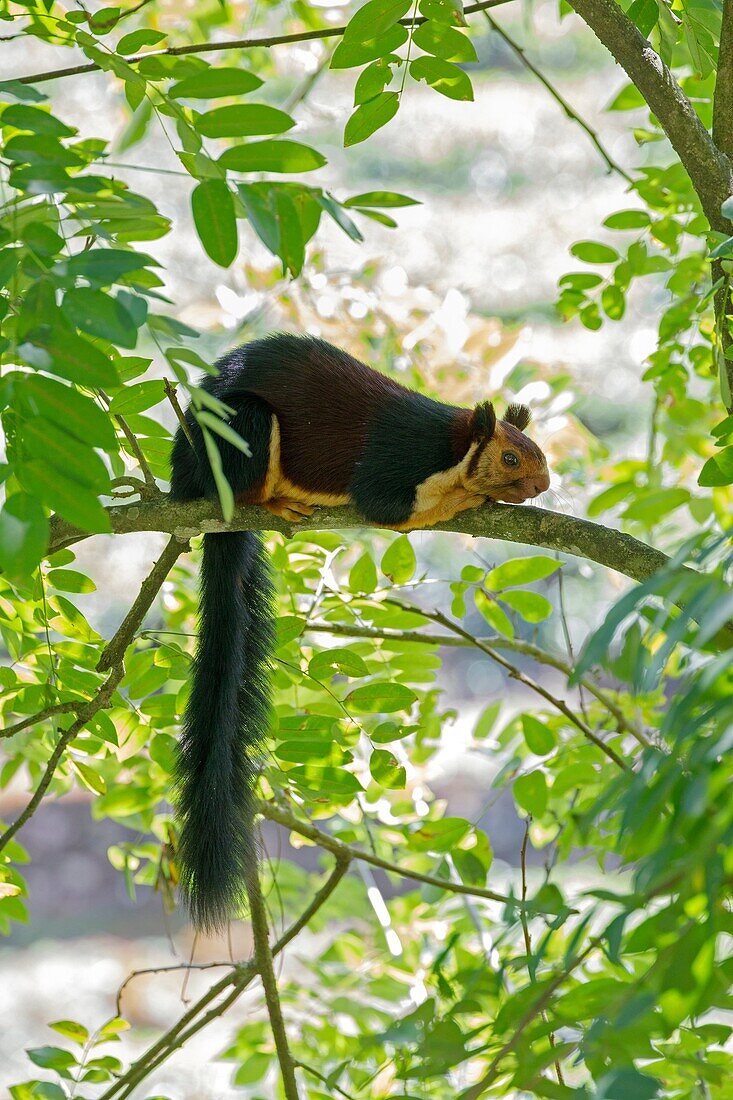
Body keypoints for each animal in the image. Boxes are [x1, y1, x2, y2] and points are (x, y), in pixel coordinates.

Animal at [168, 332, 545, 928]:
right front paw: (466, 498)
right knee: (245, 483)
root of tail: (186, 482)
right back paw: (275, 500)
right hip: (240, 433)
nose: (543, 484)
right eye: (510, 457)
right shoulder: (394, 465)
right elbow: (391, 508)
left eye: (540, 452)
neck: (451, 446)